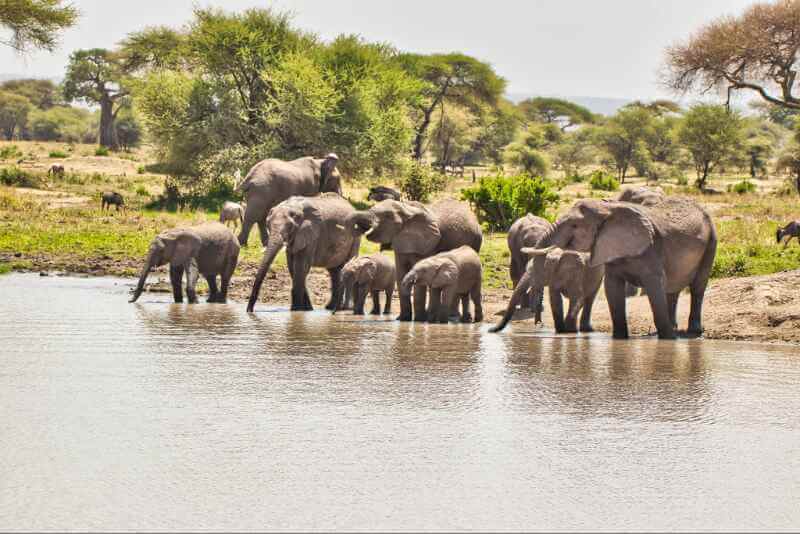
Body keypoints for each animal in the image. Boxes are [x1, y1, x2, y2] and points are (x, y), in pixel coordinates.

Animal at [348, 199, 483, 322]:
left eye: (387, 215)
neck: (407, 211)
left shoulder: (426, 244)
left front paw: (418, 320)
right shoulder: (400, 242)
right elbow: (401, 273)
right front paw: (402, 319)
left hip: (475, 242)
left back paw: (451, 316)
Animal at [539, 197, 717, 339]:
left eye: (575, 225)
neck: (608, 208)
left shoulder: (651, 249)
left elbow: (655, 286)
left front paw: (669, 339)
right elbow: (612, 288)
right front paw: (619, 339)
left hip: (711, 241)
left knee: (698, 287)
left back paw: (693, 332)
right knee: (673, 289)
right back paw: (672, 328)